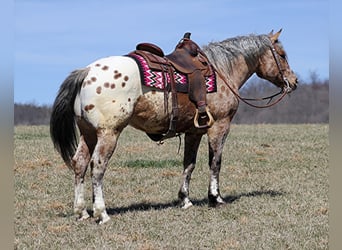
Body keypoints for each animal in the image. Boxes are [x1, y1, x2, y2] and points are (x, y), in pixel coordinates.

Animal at [50, 29, 296, 225]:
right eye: (282, 55)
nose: (293, 82)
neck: (221, 72)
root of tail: (86, 72)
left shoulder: (194, 131)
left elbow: (189, 164)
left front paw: (185, 199)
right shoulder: (220, 126)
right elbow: (215, 162)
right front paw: (215, 198)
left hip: (88, 133)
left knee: (79, 164)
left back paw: (81, 212)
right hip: (108, 133)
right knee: (97, 167)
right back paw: (101, 213)